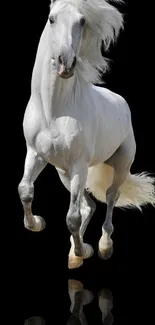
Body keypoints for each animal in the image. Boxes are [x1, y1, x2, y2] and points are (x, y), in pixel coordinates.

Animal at [18, 0, 155, 268]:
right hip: (64, 173)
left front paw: (85, 250)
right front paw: (37, 224)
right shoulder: (35, 154)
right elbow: (25, 190)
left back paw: (102, 247)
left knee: (110, 197)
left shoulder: (79, 164)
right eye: (51, 19)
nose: (66, 63)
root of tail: (121, 101)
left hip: (117, 165)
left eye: (82, 21)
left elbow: (71, 218)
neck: (54, 111)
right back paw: (75, 254)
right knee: (88, 205)